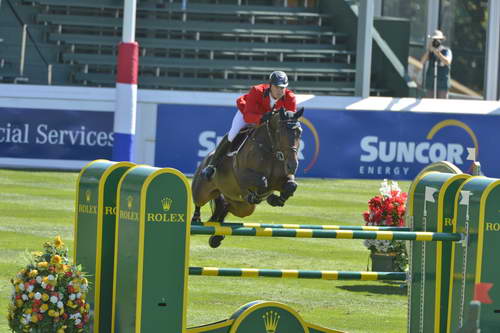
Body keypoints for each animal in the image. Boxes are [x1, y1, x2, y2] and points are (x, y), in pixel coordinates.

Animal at [191, 107, 302, 246]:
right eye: (280, 132)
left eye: (299, 132)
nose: (293, 165)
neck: (271, 150)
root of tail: (208, 157)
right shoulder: (242, 174)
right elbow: (262, 181)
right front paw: (261, 196)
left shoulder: (282, 178)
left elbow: (291, 185)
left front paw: (276, 199)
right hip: (203, 191)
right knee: (198, 201)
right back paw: (196, 219)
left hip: (242, 207)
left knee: (224, 208)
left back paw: (217, 236)